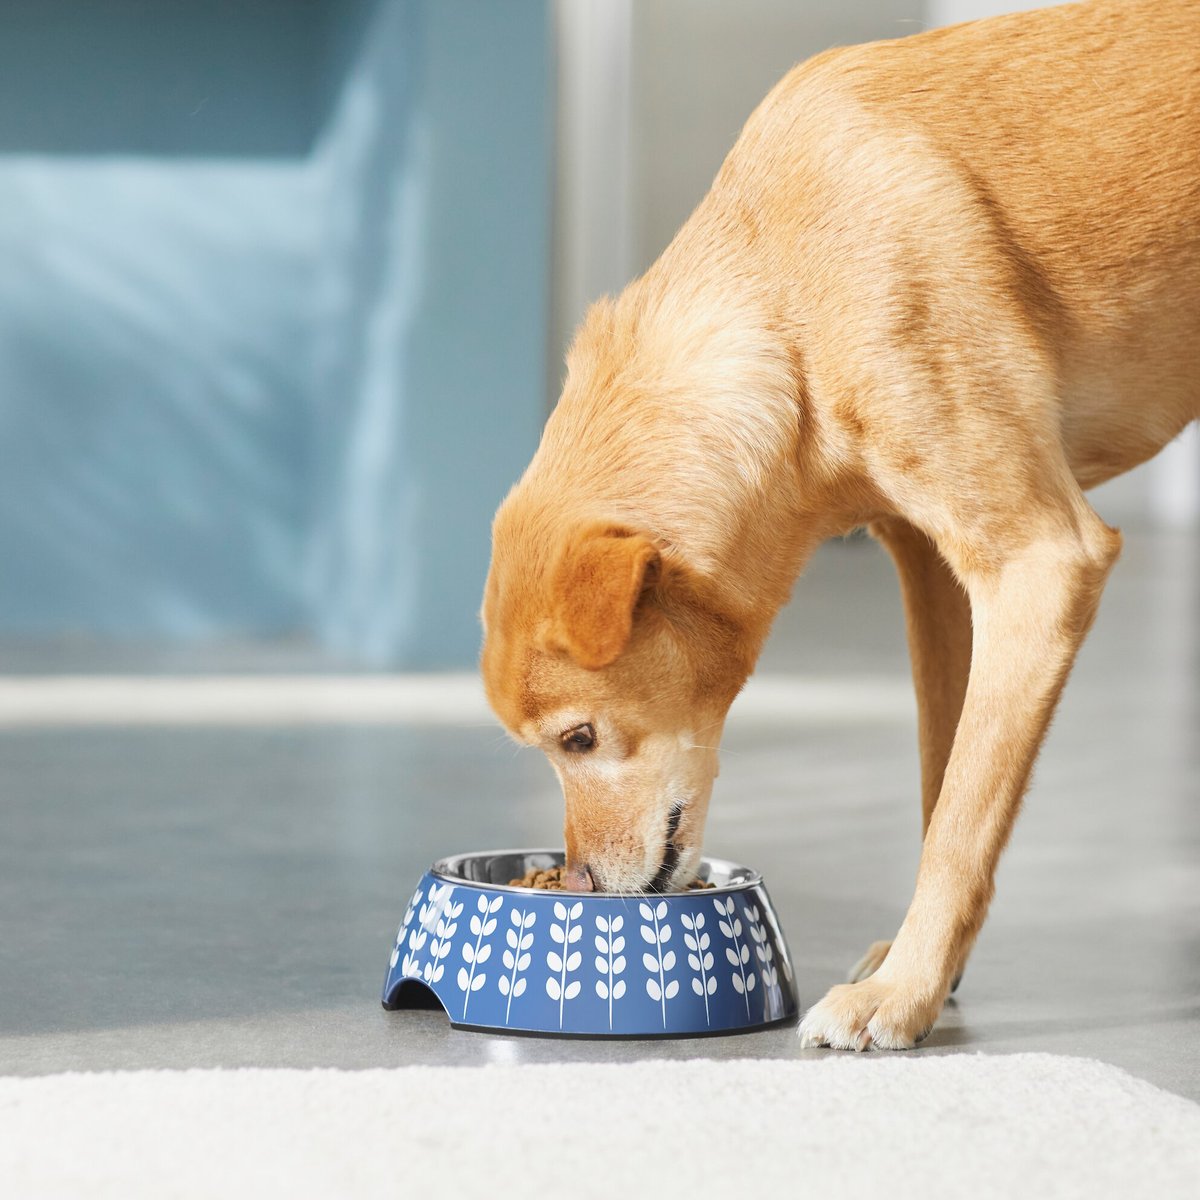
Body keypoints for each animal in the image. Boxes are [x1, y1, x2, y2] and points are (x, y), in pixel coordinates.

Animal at [477, 0, 1200, 1051]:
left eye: (577, 740)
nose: (577, 885)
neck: (792, 300)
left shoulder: (1040, 565)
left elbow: (961, 819)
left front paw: (900, 995)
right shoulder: (937, 577)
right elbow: (947, 780)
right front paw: (929, 971)